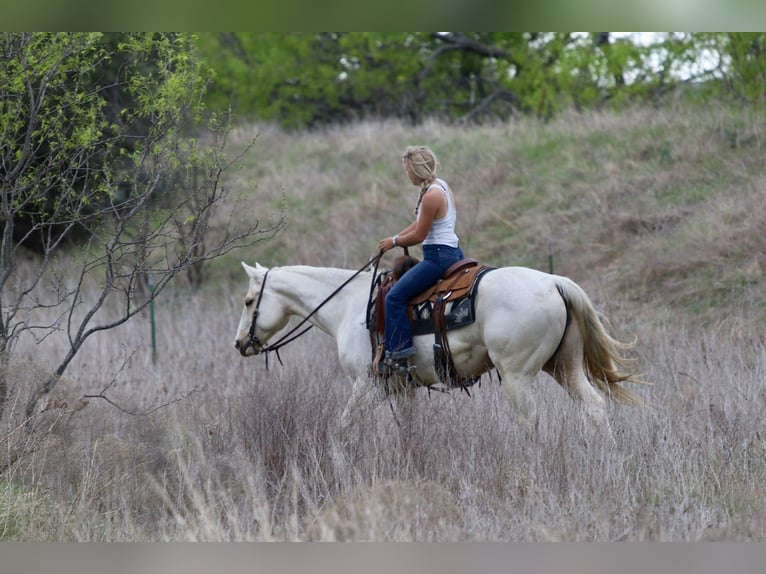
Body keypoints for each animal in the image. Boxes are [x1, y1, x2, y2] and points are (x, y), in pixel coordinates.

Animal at [233, 260, 645, 425]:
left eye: (249, 301)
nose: (240, 344)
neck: (349, 304)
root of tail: (553, 282)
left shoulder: (366, 384)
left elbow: (343, 424)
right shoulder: (402, 388)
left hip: (518, 375)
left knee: (530, 418)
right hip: (564, 366)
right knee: (594, 407)